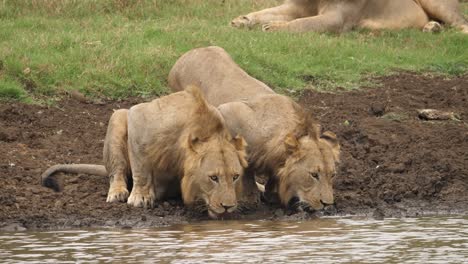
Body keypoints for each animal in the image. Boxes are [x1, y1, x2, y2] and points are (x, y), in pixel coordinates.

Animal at [41, 86, 249, 219]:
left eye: (235, 177)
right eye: (213, 178)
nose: (228, 207)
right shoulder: (139, 117)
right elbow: (141, 168)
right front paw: (141, 197)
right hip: (118, 117)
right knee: (116, 171)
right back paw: (118, 192)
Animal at [168, 47, 340, 212]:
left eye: (332, 175)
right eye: (314, 174)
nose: (327, 204)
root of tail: (189, 53)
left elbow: (273, 175)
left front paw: (271, 195)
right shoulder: (227, 112)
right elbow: (246, 167)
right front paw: (251, 198)